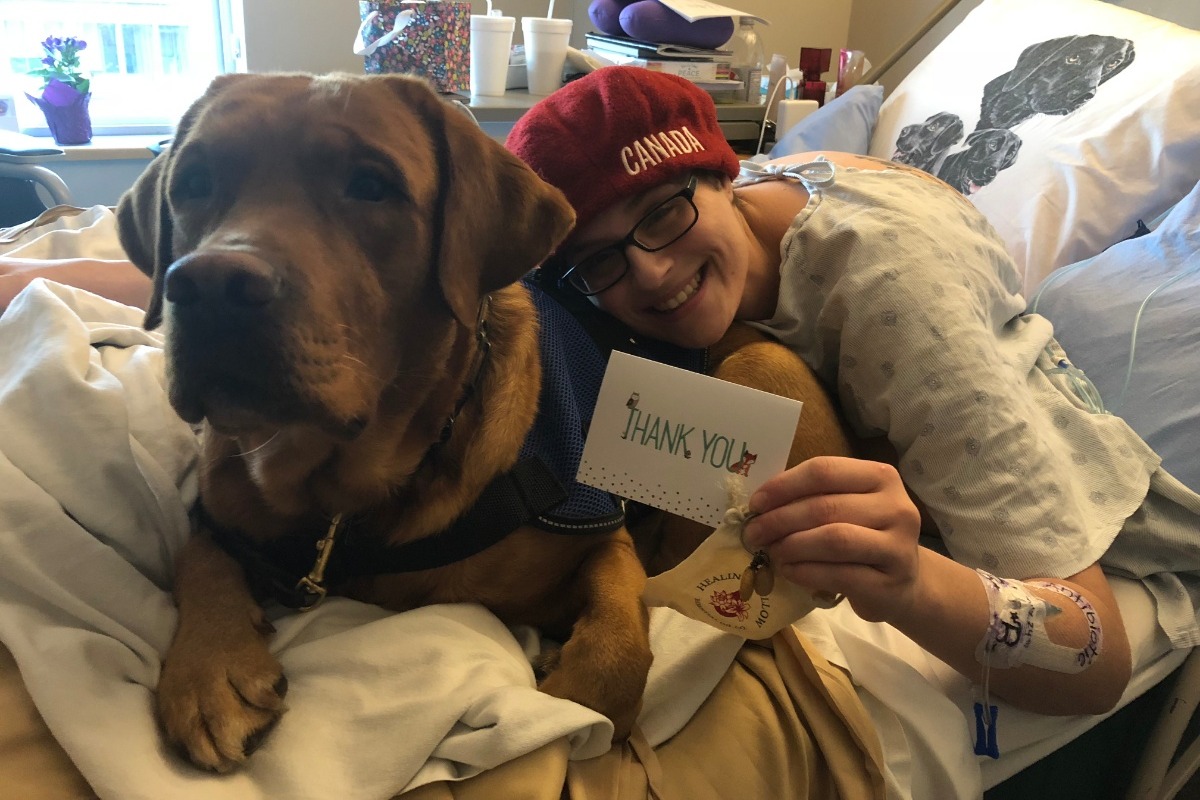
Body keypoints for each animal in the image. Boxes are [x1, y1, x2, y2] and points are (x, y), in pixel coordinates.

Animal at [115, 72, 654, 772]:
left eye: (371, 186)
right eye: (193, 183)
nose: (208, 286)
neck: (342, 497)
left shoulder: (591, 532)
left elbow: (619, 630)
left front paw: (581, 694)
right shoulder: (220, 507)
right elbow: (195, 553)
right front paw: (209, 668)